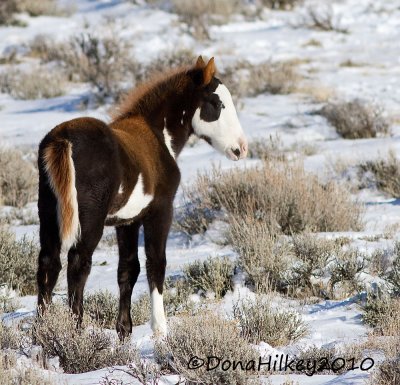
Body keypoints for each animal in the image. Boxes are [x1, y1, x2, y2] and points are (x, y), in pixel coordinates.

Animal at [36, 55, 247, 338]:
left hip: (50, 216)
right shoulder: (160, 211)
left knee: (49, 263)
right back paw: (75, 331)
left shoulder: (128, 222)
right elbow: (155, 264)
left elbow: (128, 269)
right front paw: (160, 329)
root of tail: (63, 140)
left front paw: (124, 330)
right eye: (216, 103)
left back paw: (43, 331)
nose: (241, 148)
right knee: (78, 264)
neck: (158, 136)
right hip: (89, 222)